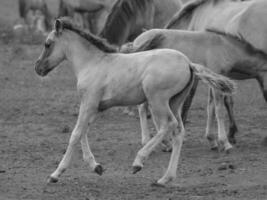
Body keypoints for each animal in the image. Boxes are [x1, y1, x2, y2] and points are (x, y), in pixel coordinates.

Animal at [34, 18, 236, 186]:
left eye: (47, 44)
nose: (38, 68)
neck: (93, 63)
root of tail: (189, 63)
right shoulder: (95, 107)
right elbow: (84, 132)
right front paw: (96, 166)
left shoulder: (89, 103)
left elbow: (75, 134)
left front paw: (55, 174)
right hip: (175, 102)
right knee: (179, 131)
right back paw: (165, 178)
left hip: (157, 100)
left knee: (168, 125)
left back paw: (139, 162)